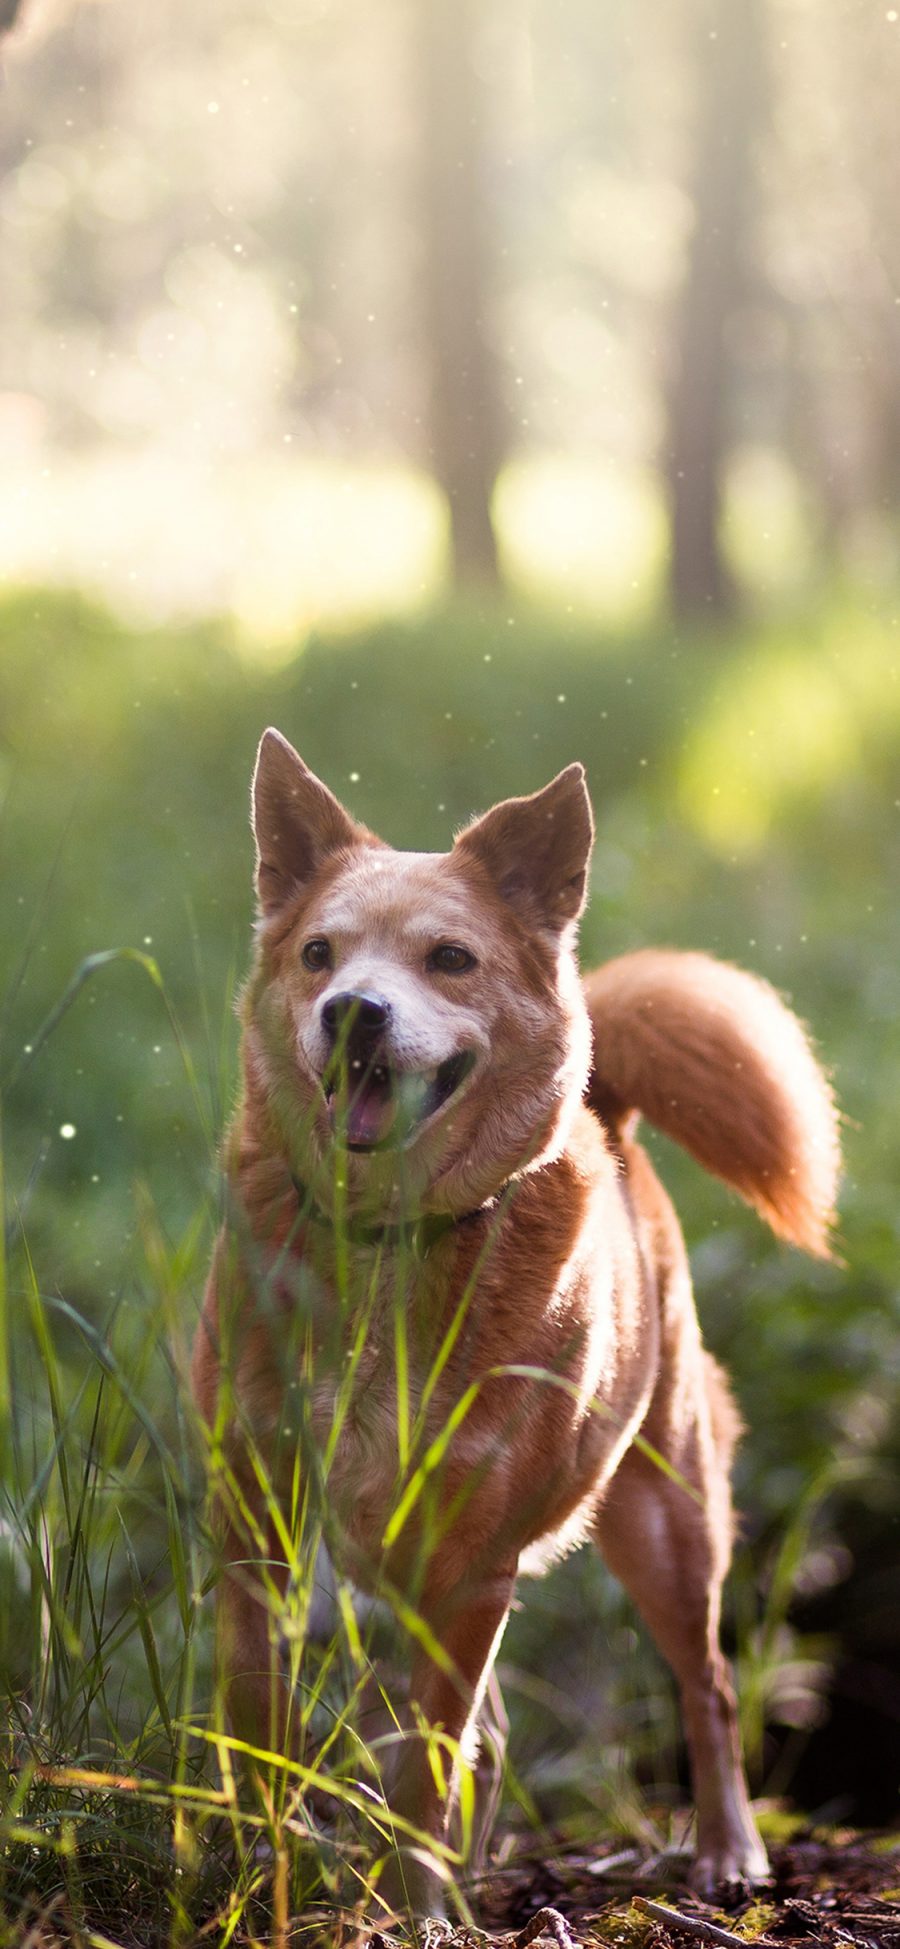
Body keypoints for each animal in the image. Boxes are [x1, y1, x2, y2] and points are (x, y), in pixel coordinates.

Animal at [191, 732, 845, 1917]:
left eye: (450, 958)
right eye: (318, 953)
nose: (352, 1010)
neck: (388, 1244)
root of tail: (610, 1109)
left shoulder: (470, 1565)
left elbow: (426, 1759)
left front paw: (408, 1910)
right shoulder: (257, 1514)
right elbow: (262, 1711)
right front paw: (256, 1869)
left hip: (666, 1520)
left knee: (710, 1685)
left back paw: (726, 1851)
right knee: (491, 1728)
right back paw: (474, 1871)